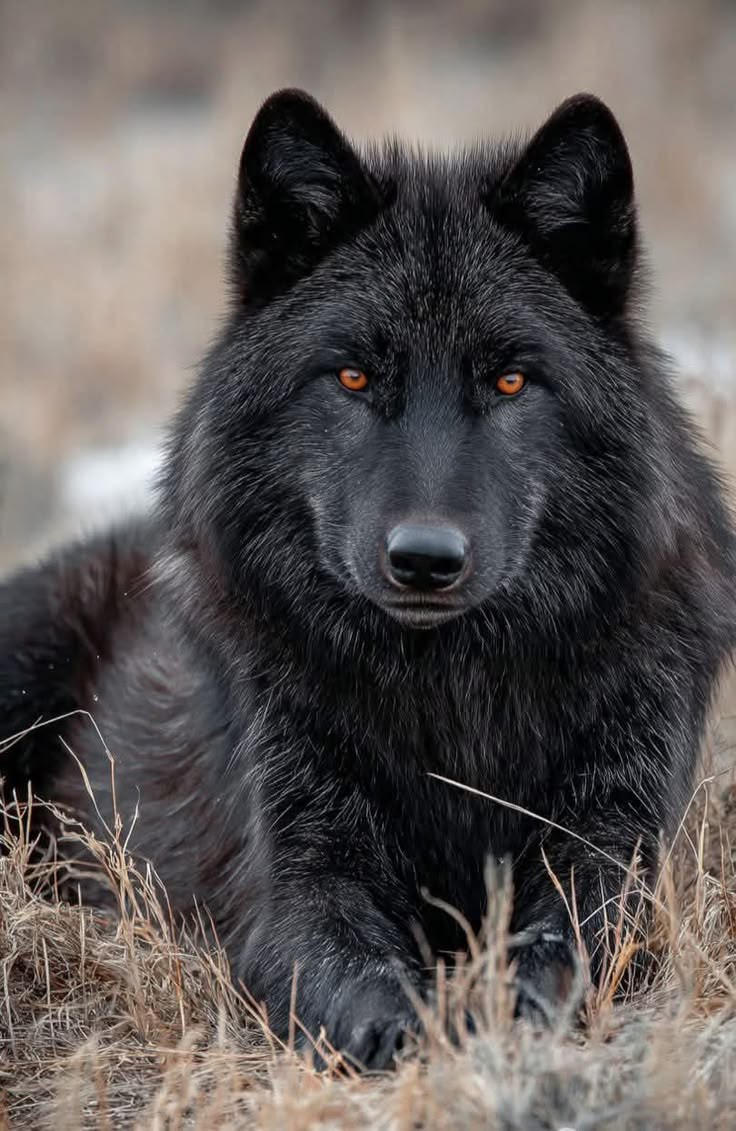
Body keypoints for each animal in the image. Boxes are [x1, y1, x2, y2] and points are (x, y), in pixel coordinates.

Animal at [1, 89, 734, 1069]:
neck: (451, 705)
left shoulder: (616, 839)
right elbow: (351, 962)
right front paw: (410, 1035)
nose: (425, 558)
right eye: (351, 375)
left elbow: (574, 935)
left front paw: (507, 1018)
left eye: (511, 381)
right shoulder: (304, 878)